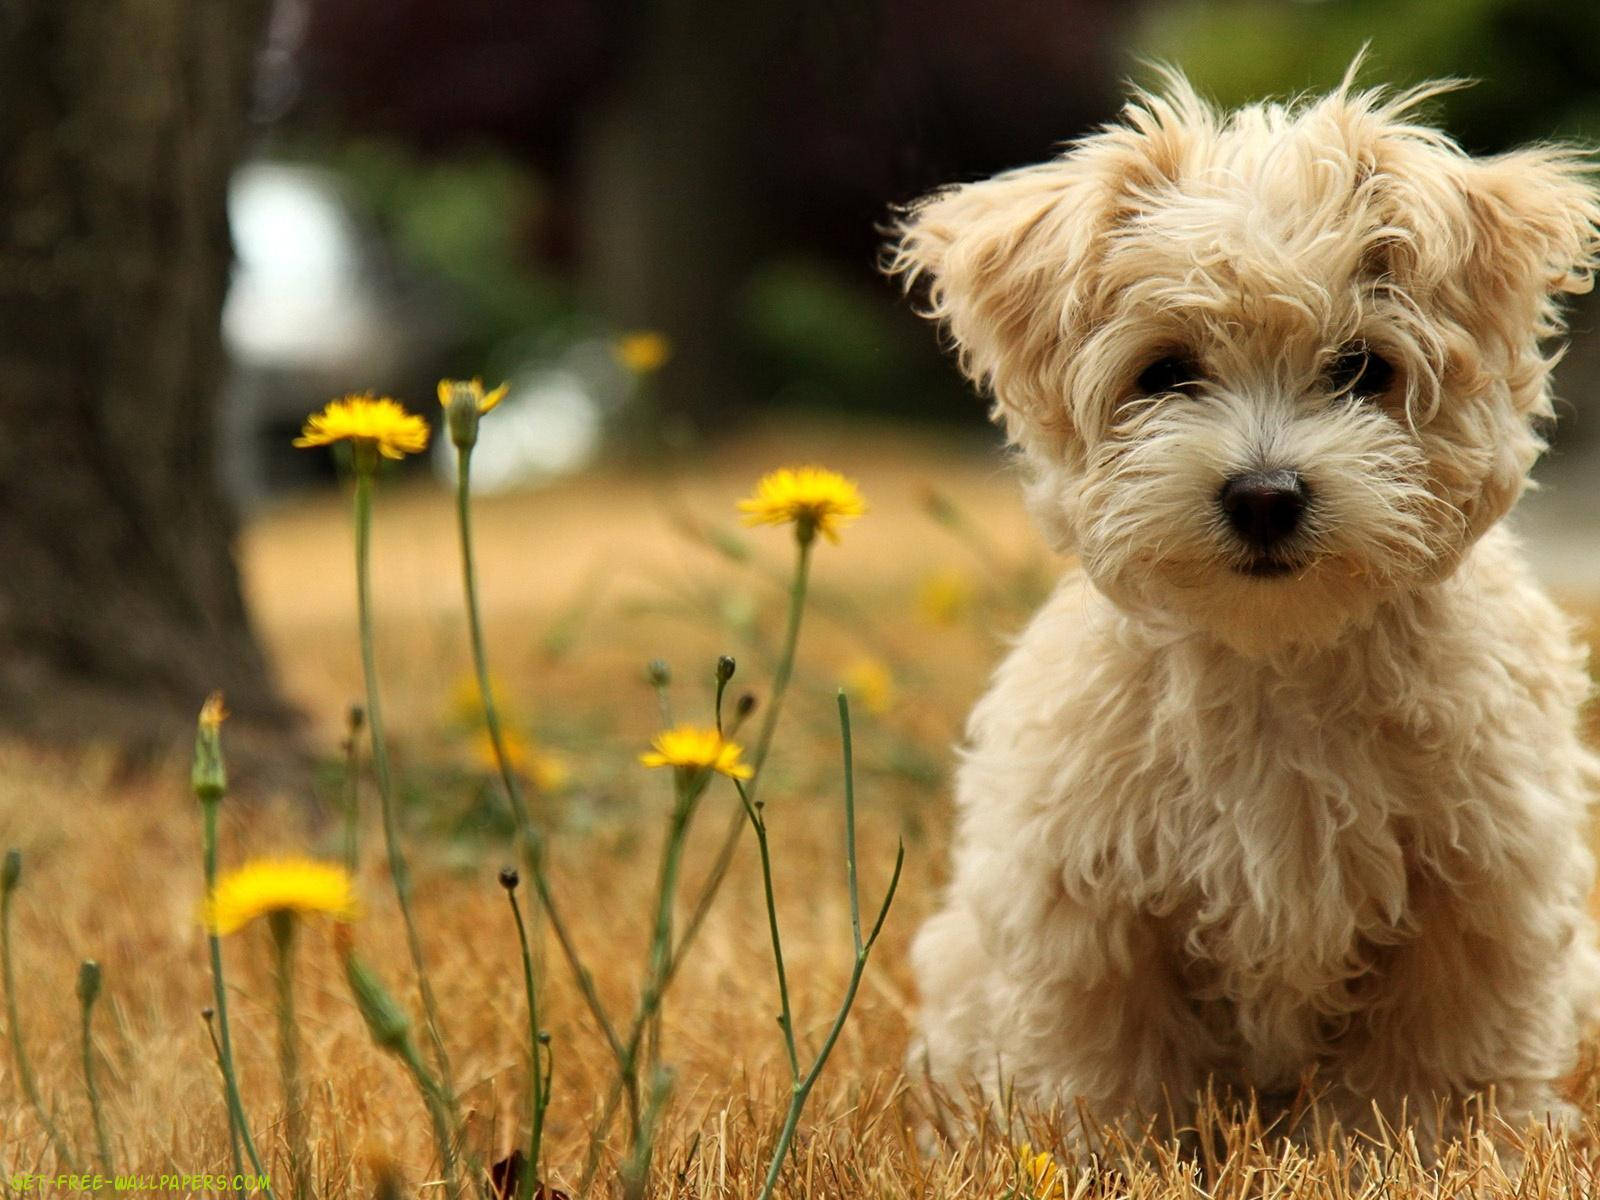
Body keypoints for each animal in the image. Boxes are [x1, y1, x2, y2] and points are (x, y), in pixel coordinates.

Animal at [889, 72, 1600, 1145]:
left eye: (1361, 369)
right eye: (1166, 372)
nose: (1264, 495)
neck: (1279, 658)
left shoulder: (1480, 879)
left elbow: (1434, 1055)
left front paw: (1417, 1146)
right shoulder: (1086, 892)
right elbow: (1109, 1057)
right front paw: (1107, 1154)